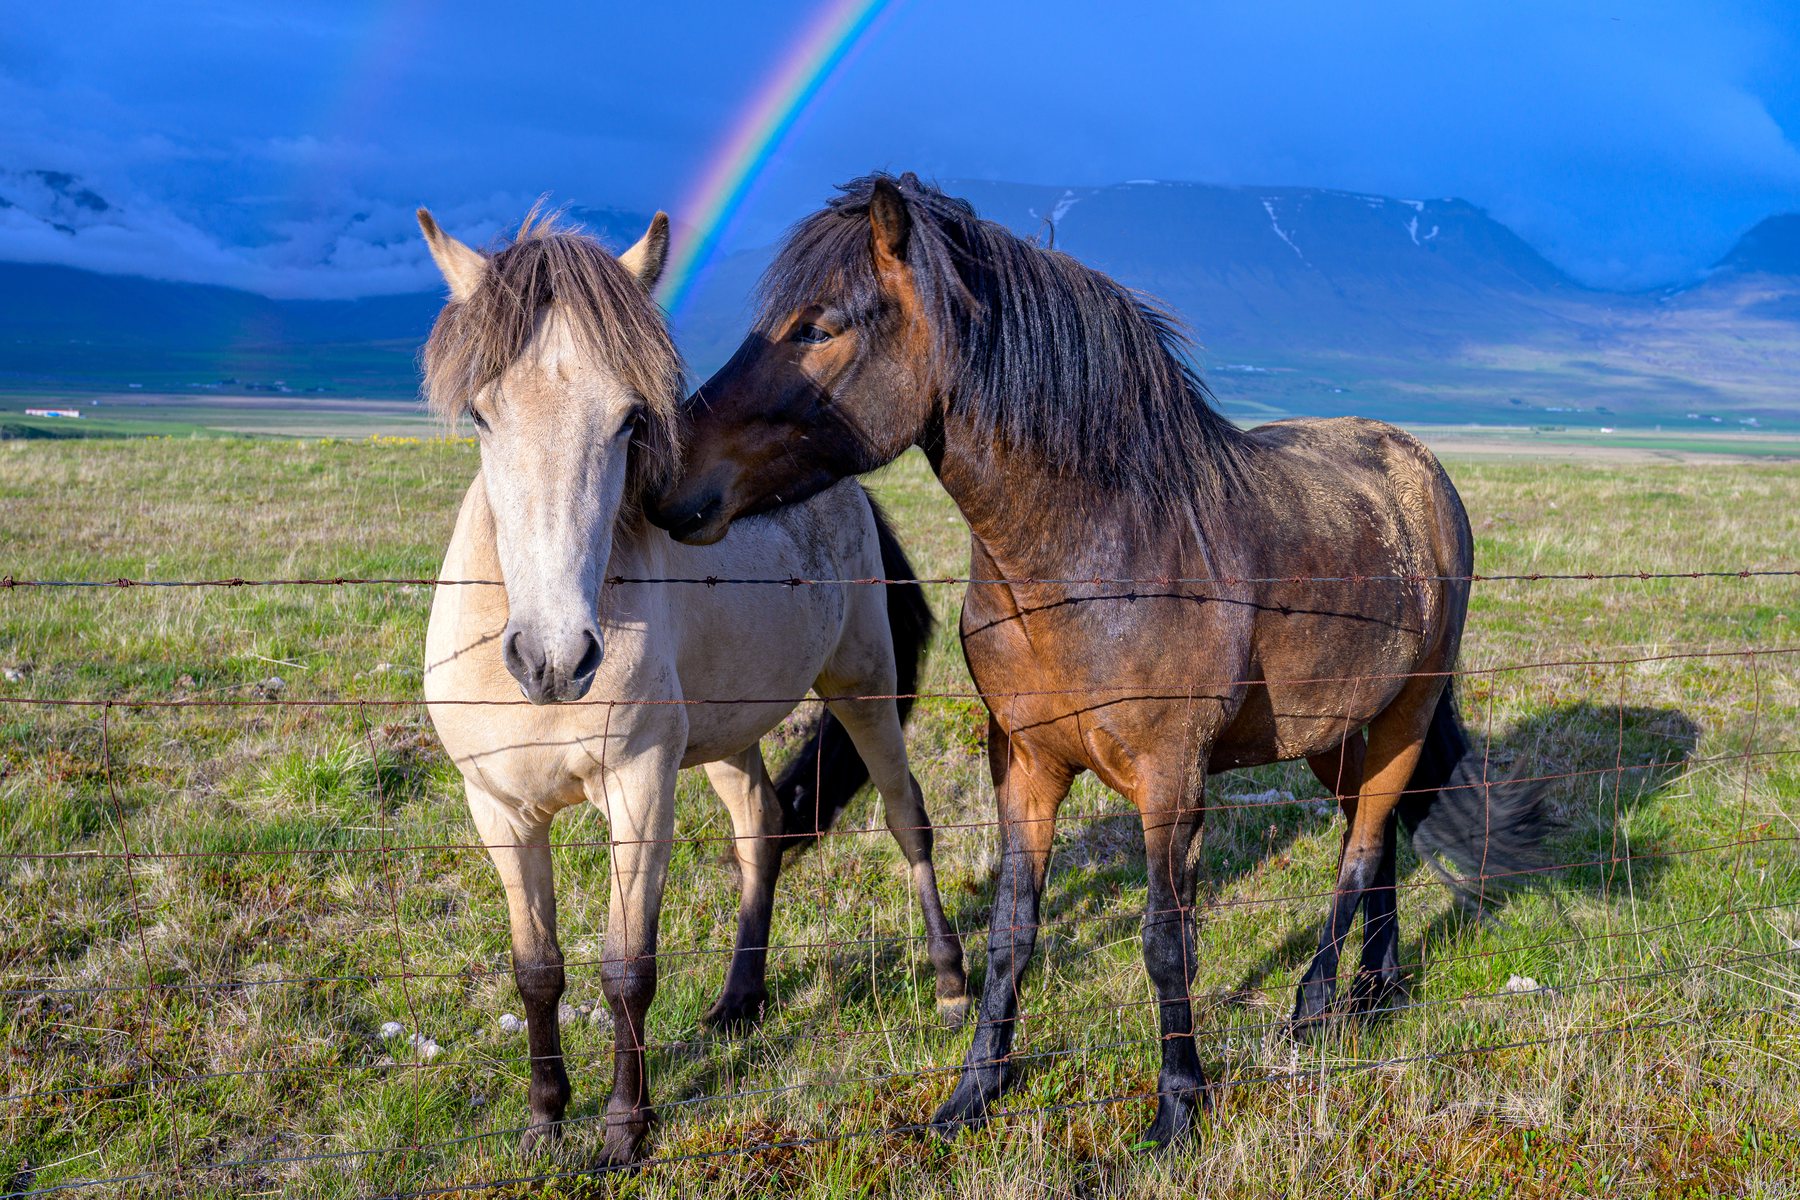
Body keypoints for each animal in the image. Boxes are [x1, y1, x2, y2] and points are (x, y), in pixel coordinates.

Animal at [416, 206, 967, 1166]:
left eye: (630, 420)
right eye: (482, 414)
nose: (555, 657)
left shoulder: (638, 789)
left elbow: (625, 967)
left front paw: (624, 1130)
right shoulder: (498, 808)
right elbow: (536, 967)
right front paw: (544, 1116)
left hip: (863, 689)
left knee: (908, 819)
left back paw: (947, 983)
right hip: (723, 737)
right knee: (761, 827)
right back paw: (740, 1001)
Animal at [646, 173, 1552, 1148]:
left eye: (817, 327)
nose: (668, 481)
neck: (1094, 557)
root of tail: (1424, 471)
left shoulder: (1170, 780)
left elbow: (1165, 938)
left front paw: (1178, 1105)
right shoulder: (1025, 765)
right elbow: (1013, 934)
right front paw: (970, 1096)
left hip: (1406, 716)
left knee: (1363, 848)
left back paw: (1314, 1009)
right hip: (1336, 733)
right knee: (1372, 841)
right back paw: (1371, 995)